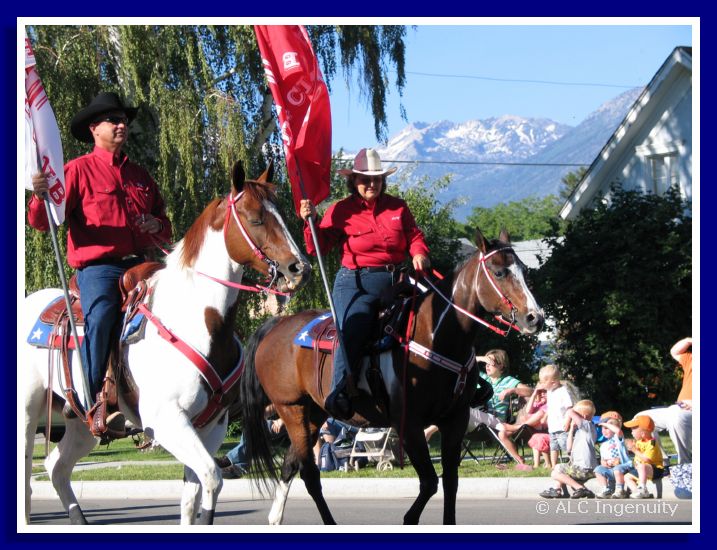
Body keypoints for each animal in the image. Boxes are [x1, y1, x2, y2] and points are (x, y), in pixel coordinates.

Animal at [22, 160, 309, 525]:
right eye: (256, 218)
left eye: (282, 213)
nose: (299, 268)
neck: (198, 320)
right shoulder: (166, 420)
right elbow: (212, 479)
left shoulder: (211, 426)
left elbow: (192, 496)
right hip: (27, 411)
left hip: (81, 425)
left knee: (56, 467)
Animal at [239, 228, 543, 525]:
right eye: (499, 272)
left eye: (525, 271)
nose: (535, 318)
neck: (434, 333)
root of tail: (277, 325)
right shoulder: (409, 424)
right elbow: (430, 482)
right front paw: (409, 517)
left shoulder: (455, 420)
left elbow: (450, 482)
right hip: (293, 410)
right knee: (310, 475)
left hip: (313, 414)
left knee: (291, 466)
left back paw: (275, 519)